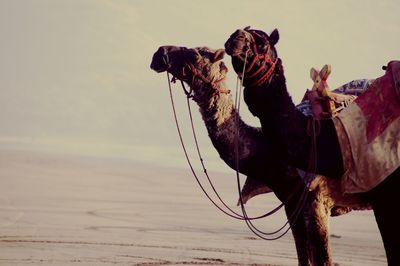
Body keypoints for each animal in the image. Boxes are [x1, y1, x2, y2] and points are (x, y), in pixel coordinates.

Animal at [149, 45, 372, 266]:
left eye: (195, 55)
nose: (160, 53)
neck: (268, 150)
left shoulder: (317, 200)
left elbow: (323, 259)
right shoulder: (292, 204)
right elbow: (303, 256)